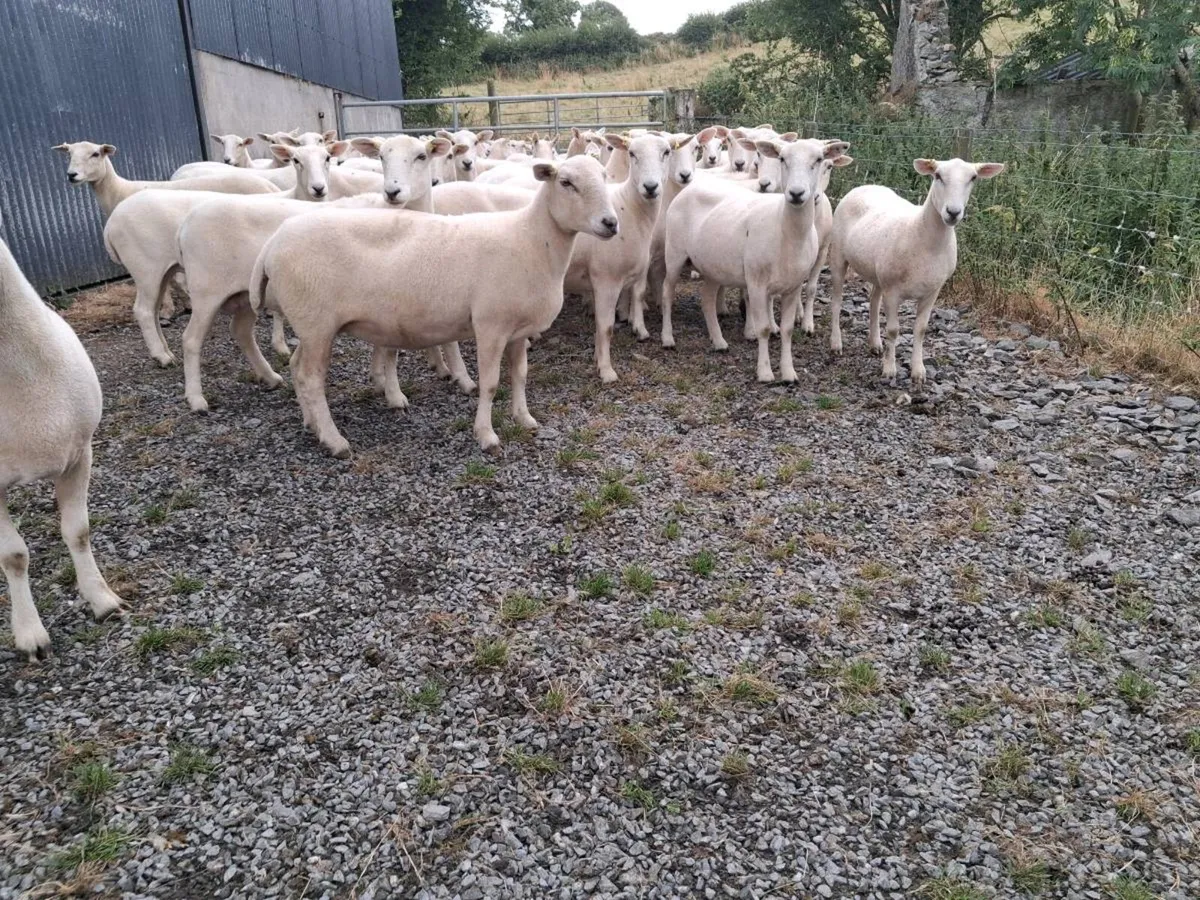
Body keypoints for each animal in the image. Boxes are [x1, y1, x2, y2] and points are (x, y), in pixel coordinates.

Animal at [175, 136, 456, 414]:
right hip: (206, 291)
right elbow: (390, 351)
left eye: (421, 156)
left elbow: (381, 345)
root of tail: (186, 223)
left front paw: (378, 381)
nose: (392, 192)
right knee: (191, 340)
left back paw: (270, 377)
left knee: (241, 332)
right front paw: (395, 394)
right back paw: (196, 398)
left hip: (246, 294)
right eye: (381, 157)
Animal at [248, 155, 618, 457]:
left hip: (310, 326)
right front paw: (486, 435)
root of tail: (272, 244)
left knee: (296, 367)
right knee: (310, 377)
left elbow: (521, 376)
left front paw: (524, 417)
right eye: (566, 182)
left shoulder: (517, 330)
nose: (611, 223)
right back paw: (334, 440)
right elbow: (490, 383)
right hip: (317, 322)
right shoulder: (490, 325)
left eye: (605, 175)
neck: (531, 240)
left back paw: (311, 424)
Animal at [562, 132, 671, 383]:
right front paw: (606, 370)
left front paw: (597, 358)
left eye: (667, 152)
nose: (650, 187)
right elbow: (606, 326)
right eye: (632, 153)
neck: (628, 207)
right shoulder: (606, 279)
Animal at [660, 138, 850, 383]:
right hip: (674, 253)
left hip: (713, 265)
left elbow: (787, 330)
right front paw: (765, 372)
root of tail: (688, 188)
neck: (786, 231)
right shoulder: (757, 283)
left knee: (707, 299)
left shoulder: (793, 286)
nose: (796, 193)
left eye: (820, 160)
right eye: (782, 158)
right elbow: (763, 329)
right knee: (667, 292)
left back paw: (719, 341)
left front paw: (789, 373)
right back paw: (667, 338)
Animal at [828, 157, 1004, 385]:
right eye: (937, 175)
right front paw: (889, 369)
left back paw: (875, 343)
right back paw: (836, 343)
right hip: (838, 256)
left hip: (879, 273)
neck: (923, 237)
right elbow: (893, 330)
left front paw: (918, 371)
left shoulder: (932, 291)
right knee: (836, 301)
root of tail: (865, 186)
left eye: (973, 178)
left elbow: (920, 329)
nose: (953, 212)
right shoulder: (893, 291)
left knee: (874, 302)